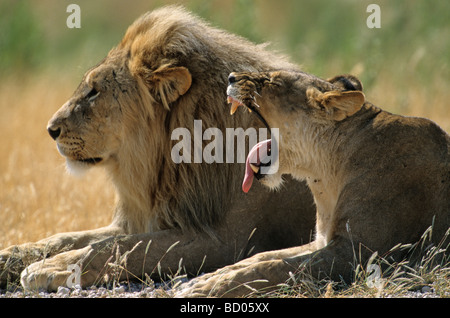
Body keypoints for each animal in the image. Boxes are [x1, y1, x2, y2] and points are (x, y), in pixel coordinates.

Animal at [0, 6, 316, 290]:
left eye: (94, 91)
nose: (50, 129)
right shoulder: (143, 219)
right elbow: (66, 238)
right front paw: (11, 257)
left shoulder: (228, 239)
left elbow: (121, 248)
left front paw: (51, 268)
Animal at [177, 71, 450, 296]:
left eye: (271, 82)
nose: (231, 77)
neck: (326, 175)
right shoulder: (322, 240)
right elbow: (260, 257)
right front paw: (208, 278)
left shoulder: (359, 255)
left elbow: (273, 267)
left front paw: (207, 288)